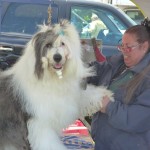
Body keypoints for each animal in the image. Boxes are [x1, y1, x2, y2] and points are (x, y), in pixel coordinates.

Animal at [0, 20, 113, 150]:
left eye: (63, 44)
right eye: (48, 45)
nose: (57, 57)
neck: (53, 78)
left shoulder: (69, 96)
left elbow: (82, 95)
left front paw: (104, 96)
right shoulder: (40, 122)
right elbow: (47, 142)